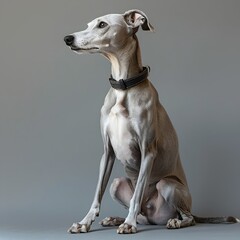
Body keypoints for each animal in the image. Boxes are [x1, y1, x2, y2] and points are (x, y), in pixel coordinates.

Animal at [62, 8, 239, 232]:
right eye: (88, 25)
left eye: (102, 25)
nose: (68, 39)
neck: (123, 87)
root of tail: (153, 217)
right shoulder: (107, 152)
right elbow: (96, 195)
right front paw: (85, 222)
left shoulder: (148, 151)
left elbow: (137, 195)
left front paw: (128, 225)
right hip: (117, 184)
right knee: (139, 211)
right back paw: (117, 219)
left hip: (168, 185)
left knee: (186, 216)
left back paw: (172, 221)